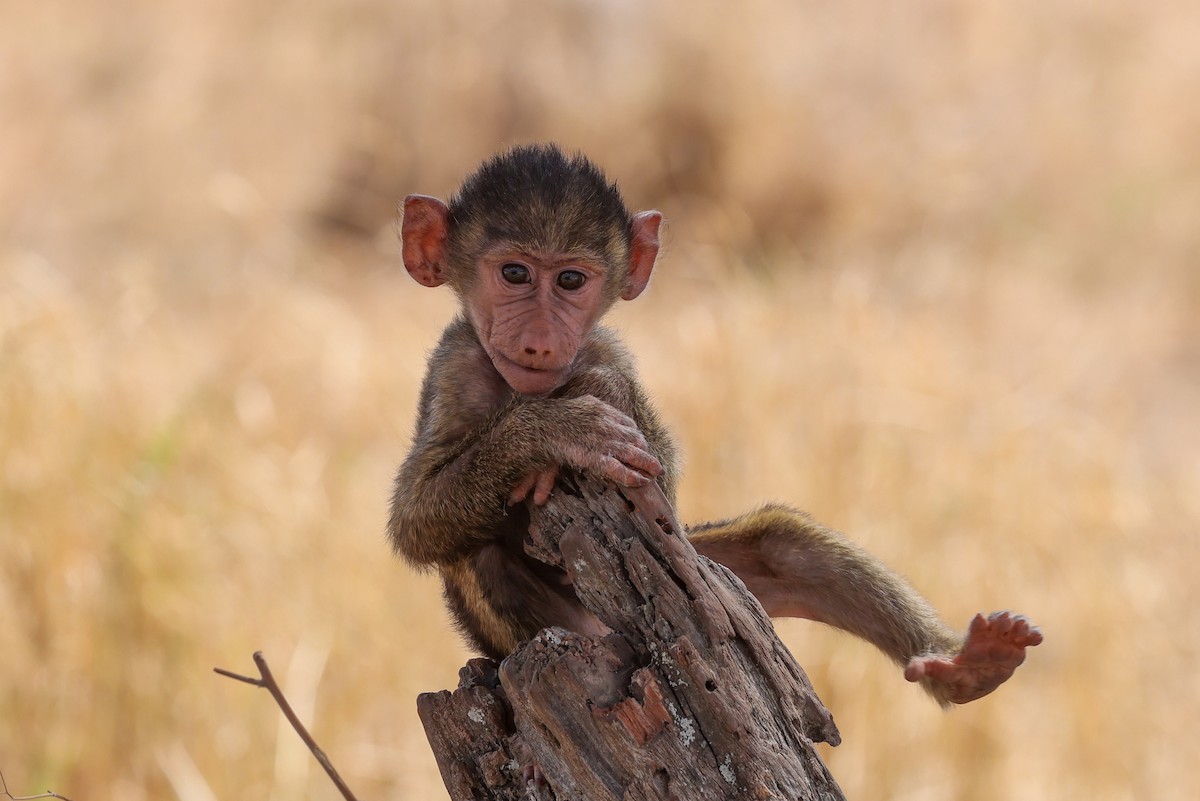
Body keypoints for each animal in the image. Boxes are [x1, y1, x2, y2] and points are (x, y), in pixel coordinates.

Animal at [388, 143, 1041, 707]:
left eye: (570, 280)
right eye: (515, 274)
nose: (541, 342)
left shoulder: (604, 348)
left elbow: (657, 477)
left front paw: (596, 398)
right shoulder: (455, 369)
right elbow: (415, 521)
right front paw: (557, 432)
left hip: (705, 571)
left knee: (785, 546)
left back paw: (967, 666)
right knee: (479, 553)